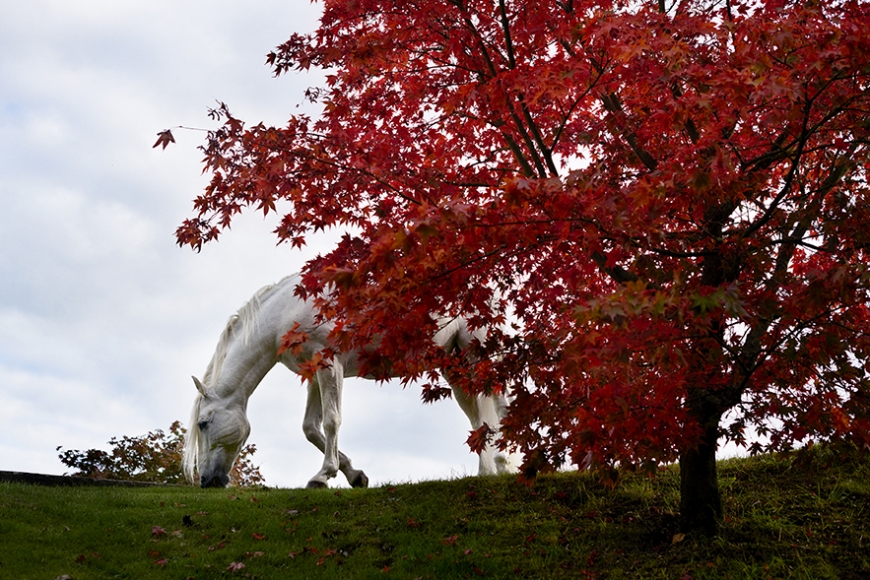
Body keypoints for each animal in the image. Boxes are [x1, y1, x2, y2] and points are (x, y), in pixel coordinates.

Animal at [181, 274, 516, 488]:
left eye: (203, 424)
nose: (207, 481)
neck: (288, 310)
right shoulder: (314, 374)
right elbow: (311, 428)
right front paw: (355, 475)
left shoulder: (330, 365)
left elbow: (331, 421)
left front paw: (322, 476)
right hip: (456, 371)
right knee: (479, 423)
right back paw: (489, 471)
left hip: (478, 355)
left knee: (498, 409)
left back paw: (501, 465)